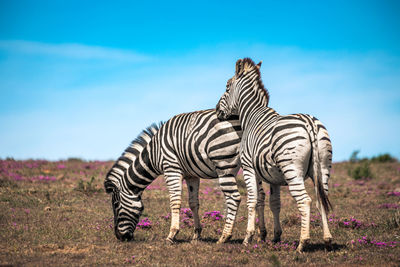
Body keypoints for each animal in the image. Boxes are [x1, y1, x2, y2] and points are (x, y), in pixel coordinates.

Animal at [104, 109, 245, 245]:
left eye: (116, 204)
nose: (120, 237)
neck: (154, 153)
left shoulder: (171, 169)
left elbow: (175, 202)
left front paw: (172, 235)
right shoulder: (191, 175)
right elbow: (193, 203)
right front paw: (196, 235)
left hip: (223, 164)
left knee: (234, 198)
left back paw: (224, 237)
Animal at [217, 58, 332, 253]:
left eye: (227, 87)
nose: (217, 111)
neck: (251, 115)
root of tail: (309, 122)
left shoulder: (248, 167)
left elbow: (253, 200)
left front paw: (248, 237)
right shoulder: (273, 176)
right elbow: (274, 203)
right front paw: (276, 236)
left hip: (292, 169)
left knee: (305, 201)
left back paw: (302, 243)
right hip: (323, 168)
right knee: (320, 199)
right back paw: (327, 240)